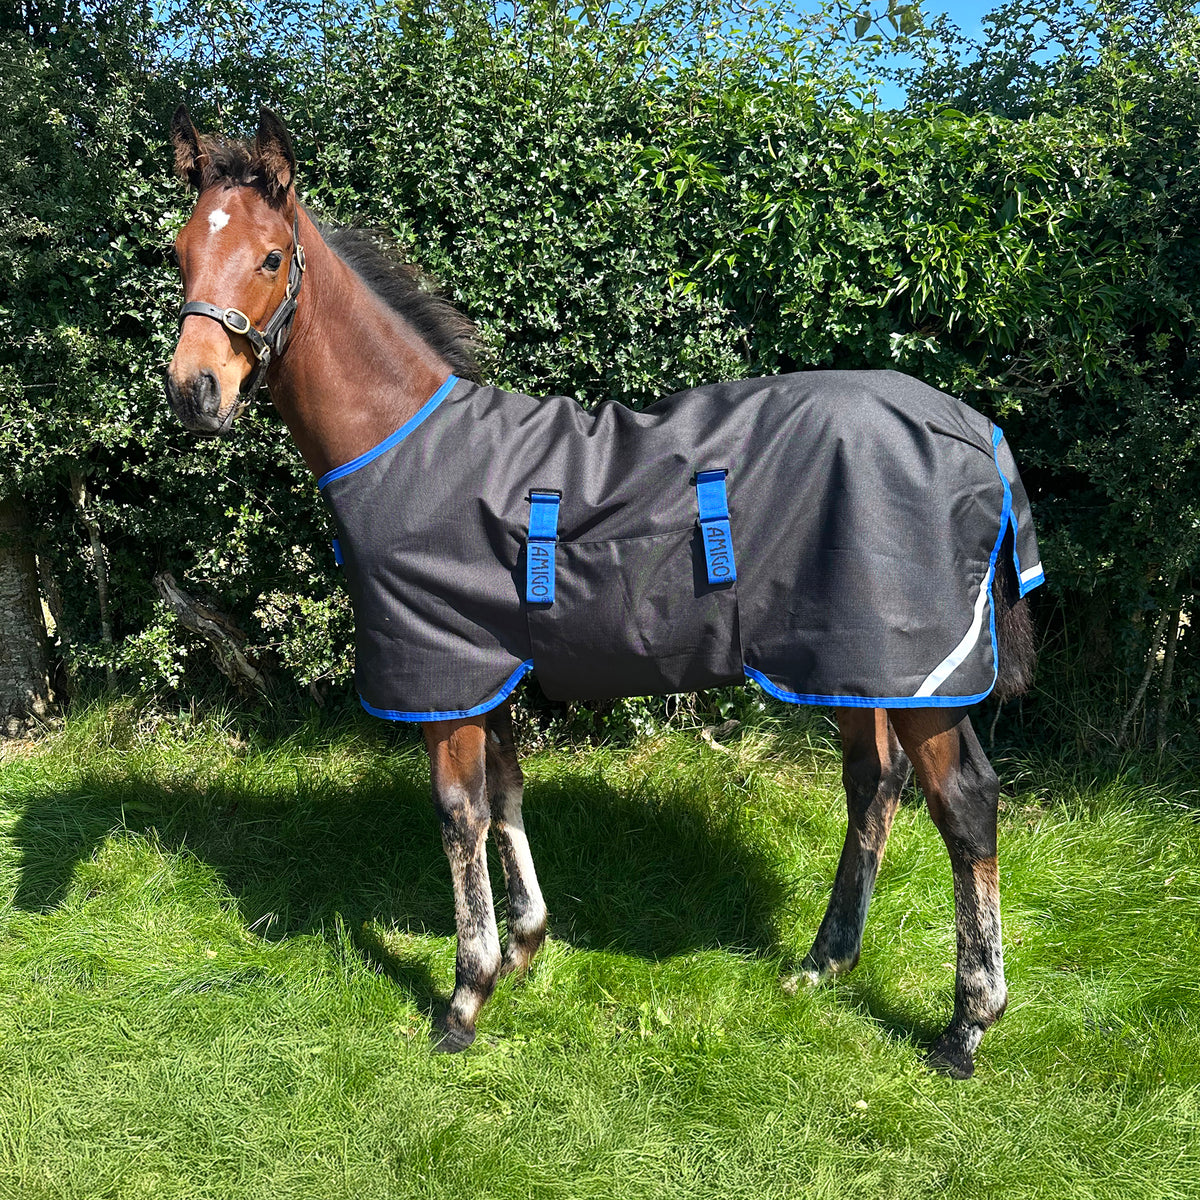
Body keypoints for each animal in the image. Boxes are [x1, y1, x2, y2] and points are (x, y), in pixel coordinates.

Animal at [164, 106, 1042, 1079]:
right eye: (179, 251)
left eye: (270, 256)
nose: (194, 391)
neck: (407, 445)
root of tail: (972, 428)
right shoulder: (490, 670)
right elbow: (507, 793)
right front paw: (524, 946)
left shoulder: (445, 673)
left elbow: (460, 815)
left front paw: (465, 996)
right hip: (850, 663)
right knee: (874, 786)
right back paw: (824, 963)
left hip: (924, 675)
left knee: (964, 807)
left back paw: (967, 1023)